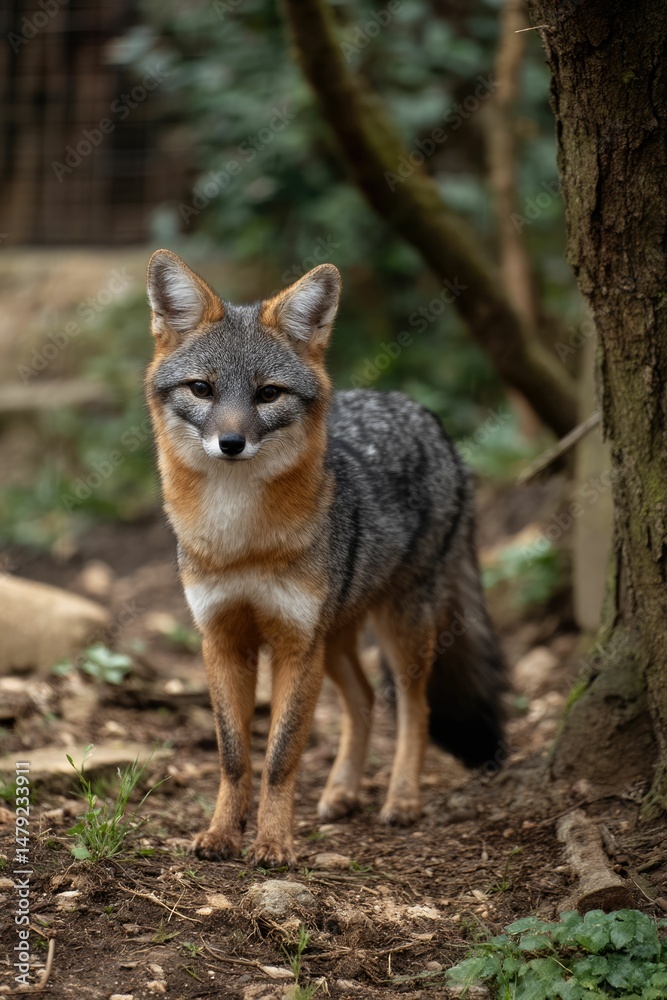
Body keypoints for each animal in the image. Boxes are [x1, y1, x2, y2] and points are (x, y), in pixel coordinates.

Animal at [146, 249, 507, 867]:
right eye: (202, 389)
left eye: (268, 394)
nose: (231, 444)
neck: (240, 538)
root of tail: (420, 411)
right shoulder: (223, 641)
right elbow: (234, 755)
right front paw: (222, 834)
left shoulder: (296, 645)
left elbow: (281, 756)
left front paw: (272, 842)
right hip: (336, 638)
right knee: (364, 700)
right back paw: (342, 791)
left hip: (398, 629)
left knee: (414, 708)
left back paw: (401, 798)